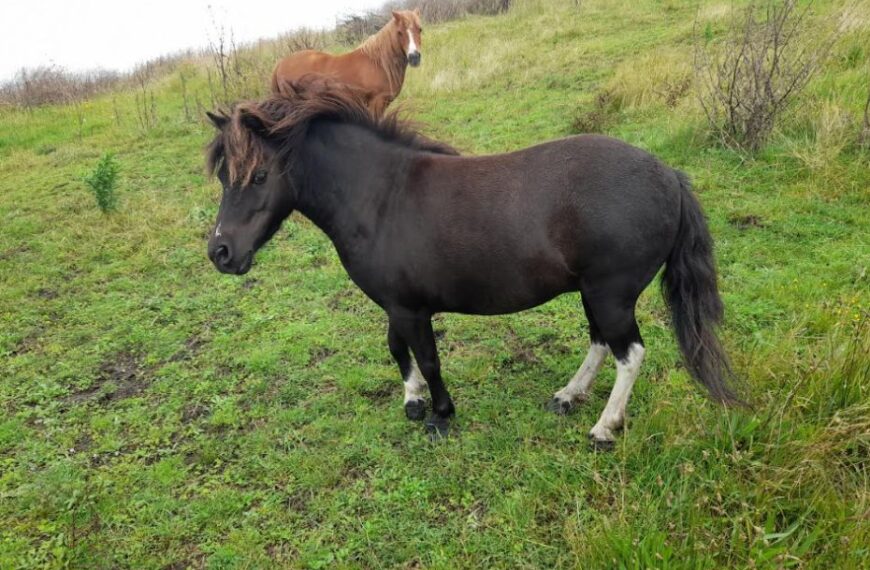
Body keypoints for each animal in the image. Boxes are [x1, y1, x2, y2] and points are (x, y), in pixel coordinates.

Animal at [204, 80, 744, 448]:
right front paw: (413, 401)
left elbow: (427, 357)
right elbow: (397, 350)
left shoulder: (411, 309)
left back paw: (604, 427)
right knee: (600, 345)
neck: (381, 197)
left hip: (611, 294)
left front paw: (441, 414)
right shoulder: (397, 304)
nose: (221, 253)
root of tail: (669, 175)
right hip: (595, 293)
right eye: (225, 177)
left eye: (259, 176)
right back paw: (568, 396)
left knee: (628, 354)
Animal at [270, 9, 424, 115]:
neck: (379, 63)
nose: (414, 57)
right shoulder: (377, 103)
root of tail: (280, 64)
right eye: (399, 32)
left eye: (420, 29)